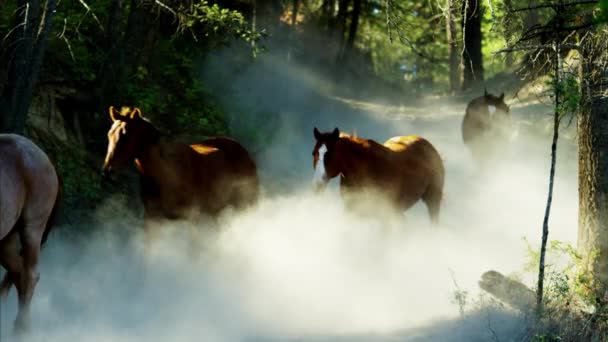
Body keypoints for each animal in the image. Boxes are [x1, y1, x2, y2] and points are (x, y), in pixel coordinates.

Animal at [101, 107, 258, 243]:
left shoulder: (192, 218)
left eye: (125, 136)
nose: (107, 171)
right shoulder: (152, 219)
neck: (166, 175)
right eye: (109, 135)